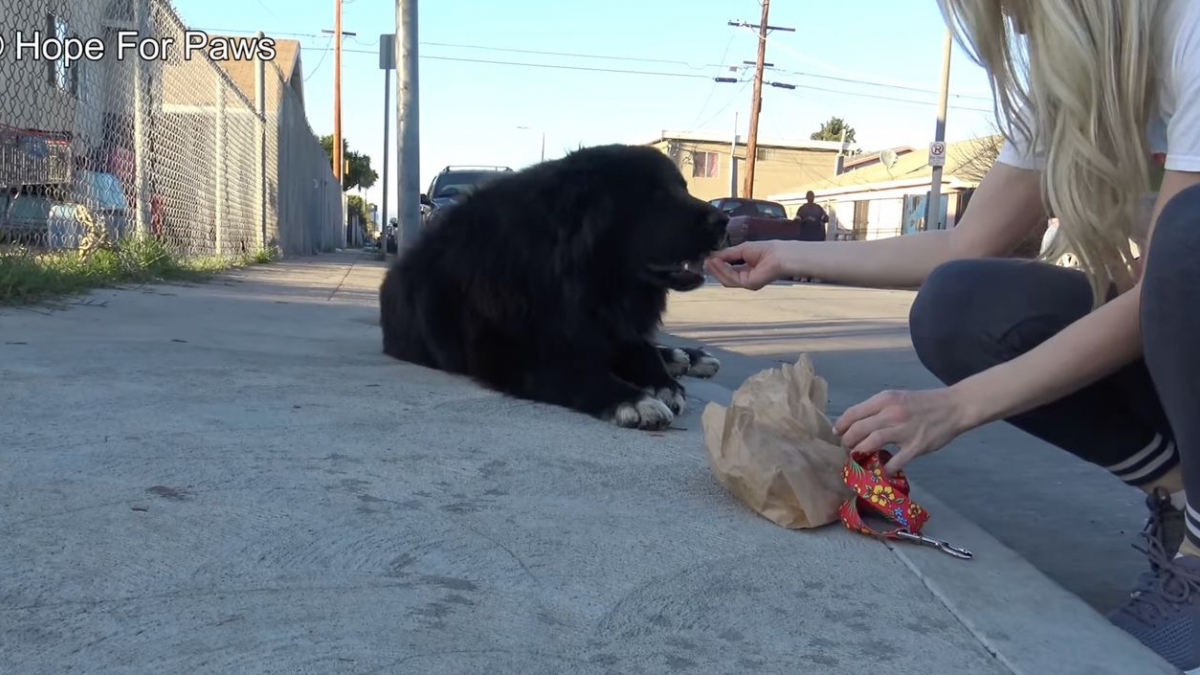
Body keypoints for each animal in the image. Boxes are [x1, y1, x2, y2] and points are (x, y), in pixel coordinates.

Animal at [379, 144, 724, 427]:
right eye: (656, 196)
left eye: (684, 189)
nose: (723, 221)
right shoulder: (513, 354)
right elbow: (578, 371)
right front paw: (634, 400)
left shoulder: (613, 326)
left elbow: (644, 351)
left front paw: (665, 382)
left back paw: (684, 356)